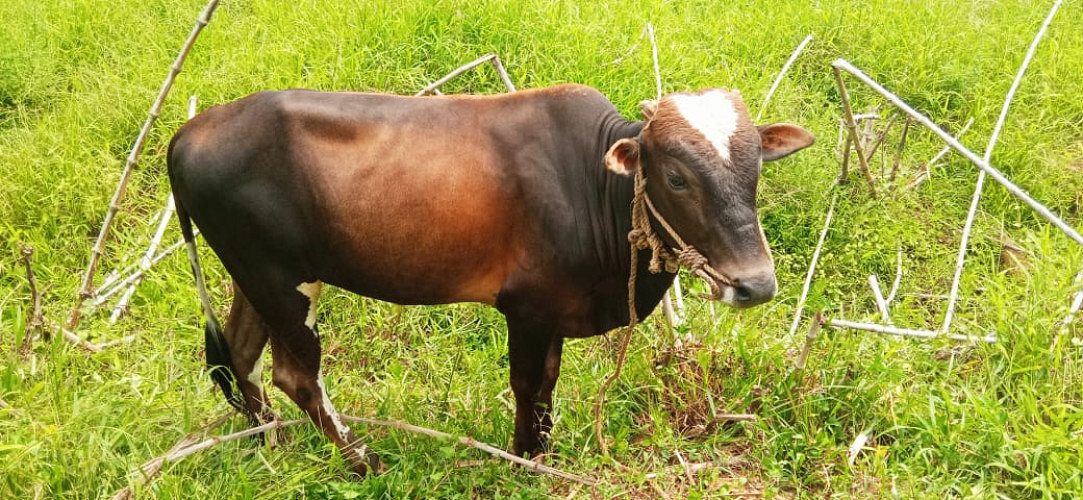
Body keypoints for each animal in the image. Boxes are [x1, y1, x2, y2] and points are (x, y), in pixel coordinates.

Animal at [167, 83, 813, 475]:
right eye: (676, 177)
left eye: (756, 168)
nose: (755, 284)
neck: (594, 183)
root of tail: (187, 133)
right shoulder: (528, 307)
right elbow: (529, 385)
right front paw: (526, 458)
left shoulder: (552, 314)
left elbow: (547, 385)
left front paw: (543, 451)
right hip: (281, 281)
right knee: (294, 375)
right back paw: (364, 461)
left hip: (254, 279)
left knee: (239, 357)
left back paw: (266, 444)